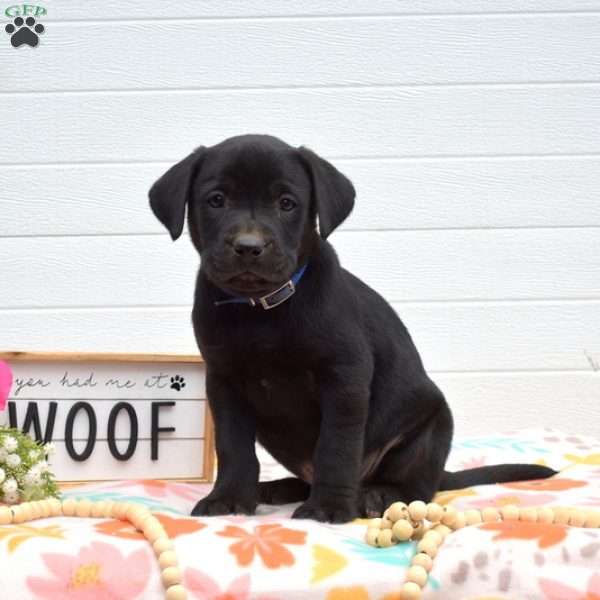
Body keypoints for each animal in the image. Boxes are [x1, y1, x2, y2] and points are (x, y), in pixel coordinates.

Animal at [149, 135, 552, 520]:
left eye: (287, 203)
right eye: (216, 200)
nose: (249, 247)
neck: (261, 310)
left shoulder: (344, 378)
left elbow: (336, 448)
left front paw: (328, 507)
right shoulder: (224, 382)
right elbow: (234, 448)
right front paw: (229, 498)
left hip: (431, 427)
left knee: (417, 486)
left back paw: (376, 495)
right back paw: (277, 488)